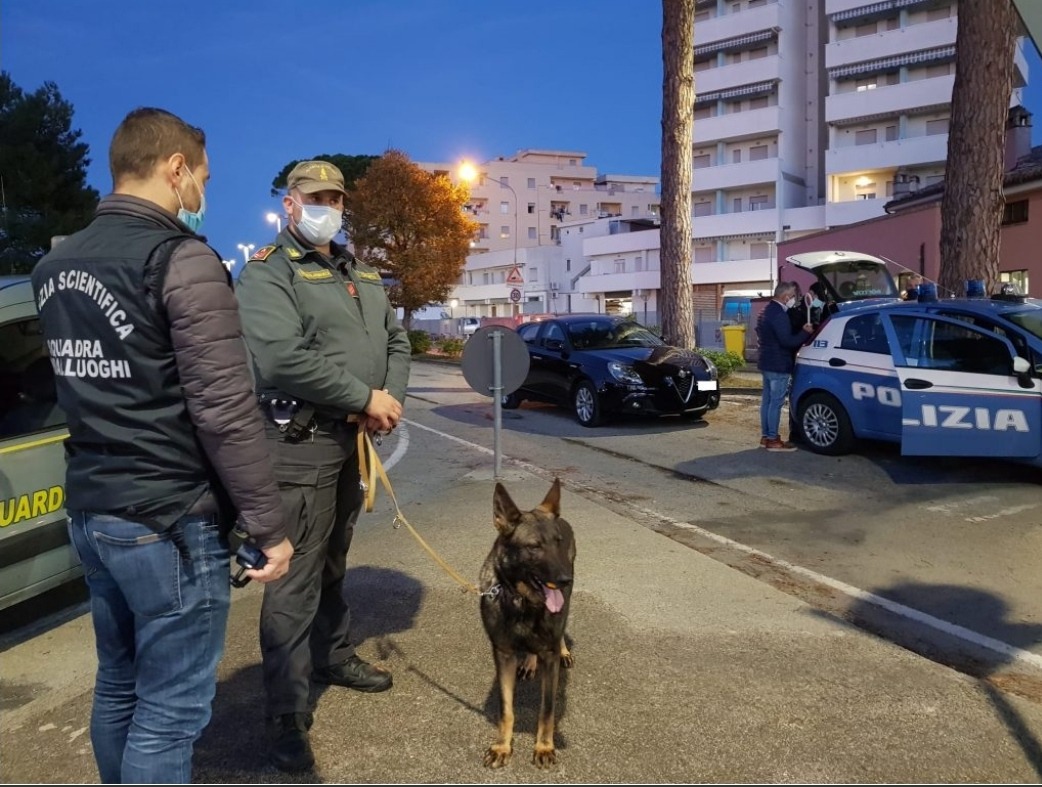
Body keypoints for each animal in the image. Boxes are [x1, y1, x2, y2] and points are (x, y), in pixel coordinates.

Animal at [477, 477, 575, 767]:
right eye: (534, 547)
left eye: (558, 542)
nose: (566, 579)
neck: (522, 602)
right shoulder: (503, 654)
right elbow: (506, 709)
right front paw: (502, 745)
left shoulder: (549, 658)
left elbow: (547, 710)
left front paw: (544, 746)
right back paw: (530, 661)